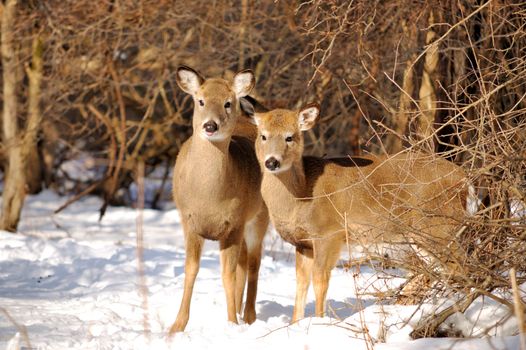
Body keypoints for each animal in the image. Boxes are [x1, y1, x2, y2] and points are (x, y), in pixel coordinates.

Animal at [171, 65, 270, 334]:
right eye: (200, 101)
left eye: (227, 103)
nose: (210, 125)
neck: (209, 198)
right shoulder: (189, 222)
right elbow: (190, 270)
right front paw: (177, 326)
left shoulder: (234, 223)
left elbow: (228, 275)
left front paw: (232, 323)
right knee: (245, 263)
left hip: (260, 216)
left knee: (253, 263)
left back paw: (248, 316)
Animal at [246, 102, 474, 322]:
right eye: (263, 135)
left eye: (290, 137)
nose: (272, 162)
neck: (300, 196)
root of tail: (463, 179)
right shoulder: (303, 243)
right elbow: (301, 282)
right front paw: (295, 324)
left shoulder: (329, 232)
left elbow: (320, 279)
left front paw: (319, 321)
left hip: (438, 225)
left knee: (461, 268)